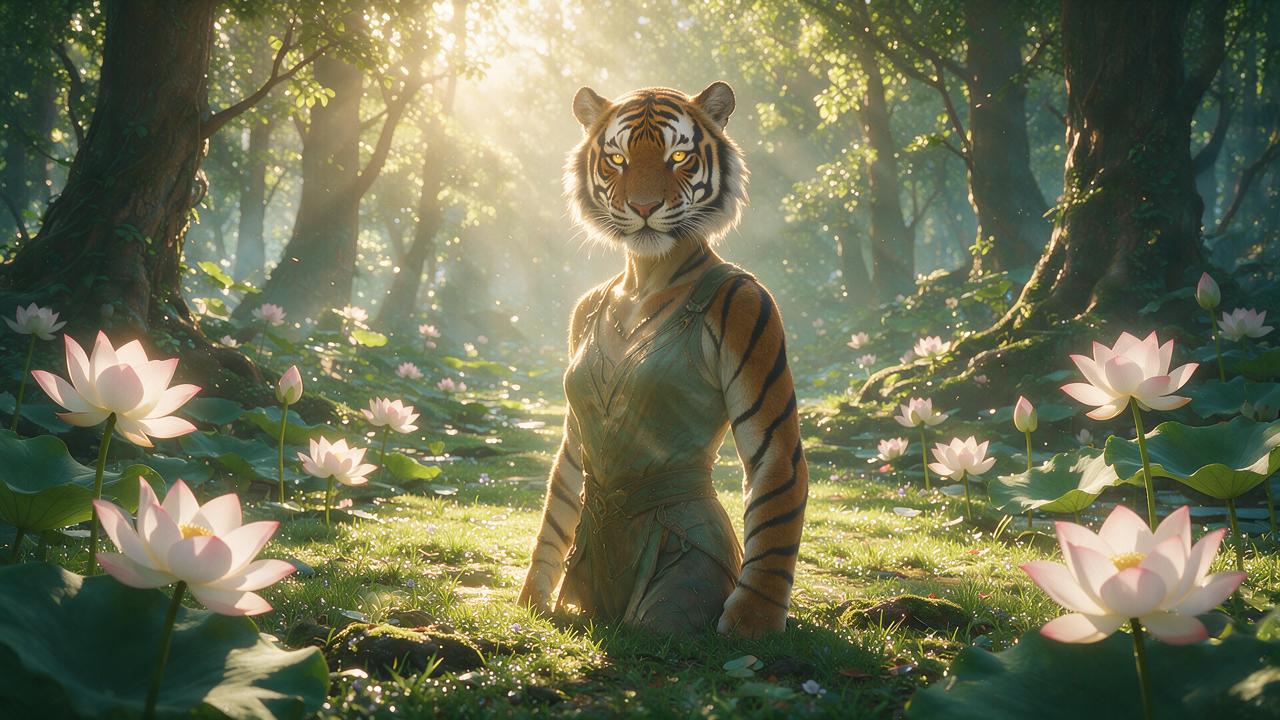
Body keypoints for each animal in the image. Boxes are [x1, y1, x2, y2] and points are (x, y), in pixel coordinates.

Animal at [517, 81, 808, 638]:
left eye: (678, 157)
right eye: (618, 159)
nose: (645, 205)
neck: (646, 274)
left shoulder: (752, 309)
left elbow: (774, 473)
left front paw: (752, 621)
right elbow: (564, 480)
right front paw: (534, 593)